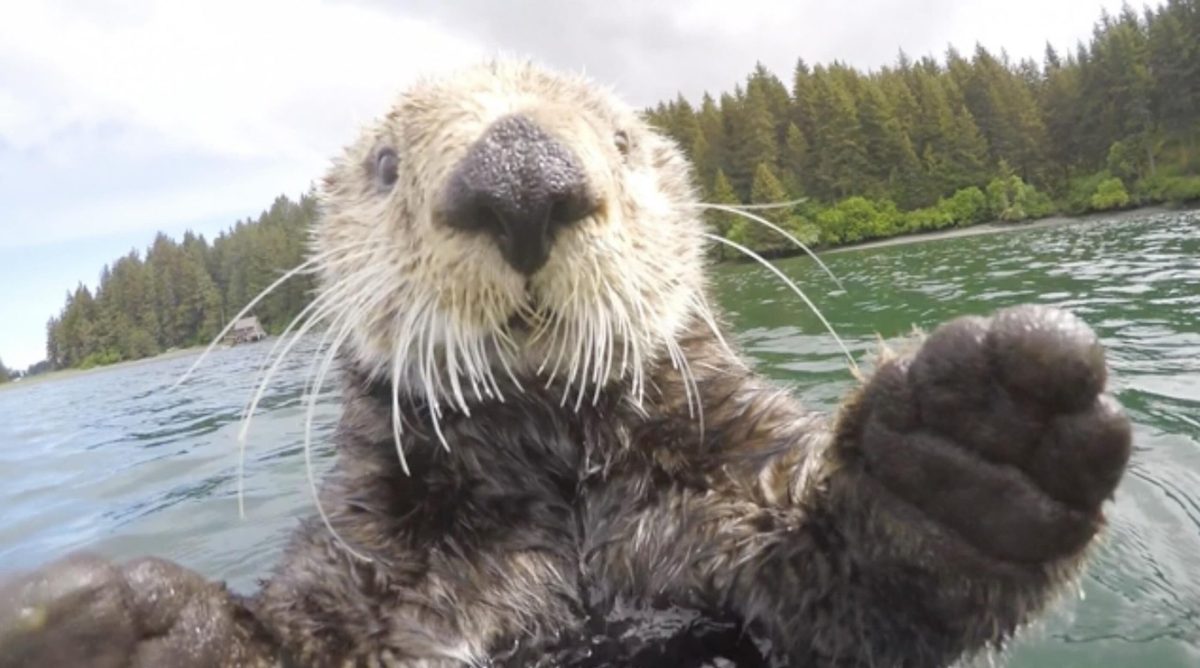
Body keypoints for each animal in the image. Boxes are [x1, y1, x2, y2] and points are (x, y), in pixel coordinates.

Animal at [0, 61, 1131, 667]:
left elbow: (863, 584)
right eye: (386, 165)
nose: (519, 173)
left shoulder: (725, 500)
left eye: (622, 140)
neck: (561, 491)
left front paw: (980, 441)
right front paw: (124, 628)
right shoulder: (377, 578)